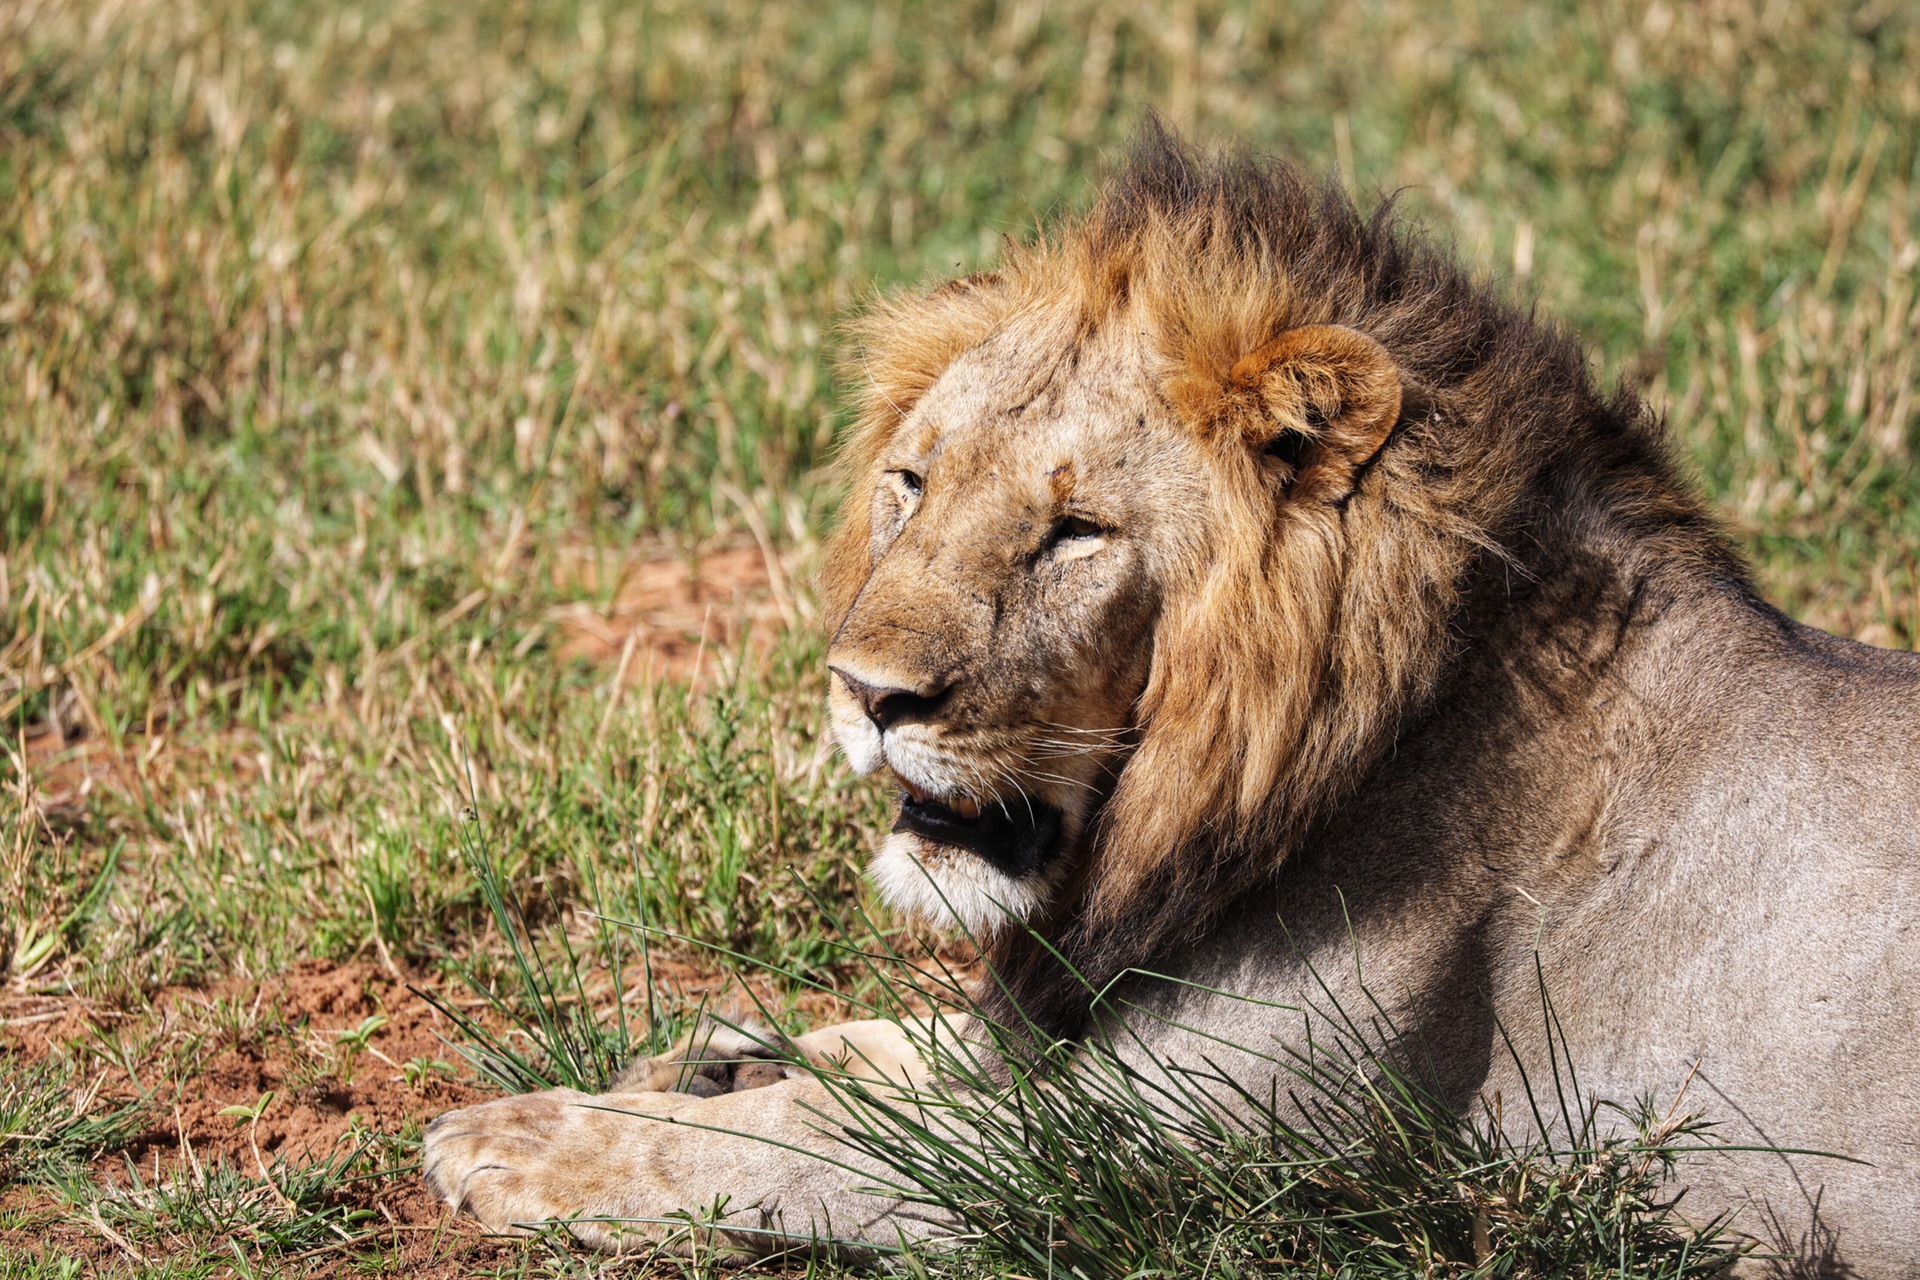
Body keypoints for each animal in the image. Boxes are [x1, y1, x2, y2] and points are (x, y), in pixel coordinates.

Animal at [420, 130, 1920, 1274]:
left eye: (1074, 533)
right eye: (913, 482)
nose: (864, 693)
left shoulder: (1142, 1161)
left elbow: (810, 1138)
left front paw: (526, 1136)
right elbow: (891, 1044)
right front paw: (711, 1050)